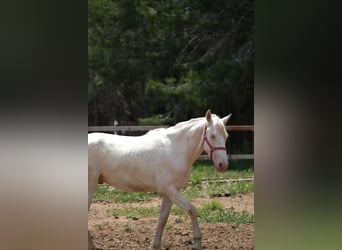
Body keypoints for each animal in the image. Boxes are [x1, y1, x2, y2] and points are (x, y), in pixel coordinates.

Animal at [88, 110, 232, 250]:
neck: (176, 150)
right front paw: (197, 244)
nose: (223, 165)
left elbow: (163, 219)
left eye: (226, 136)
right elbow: (192, 209)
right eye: (212, 135)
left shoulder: (170, 193)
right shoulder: (169, 189)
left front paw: (156, 245)